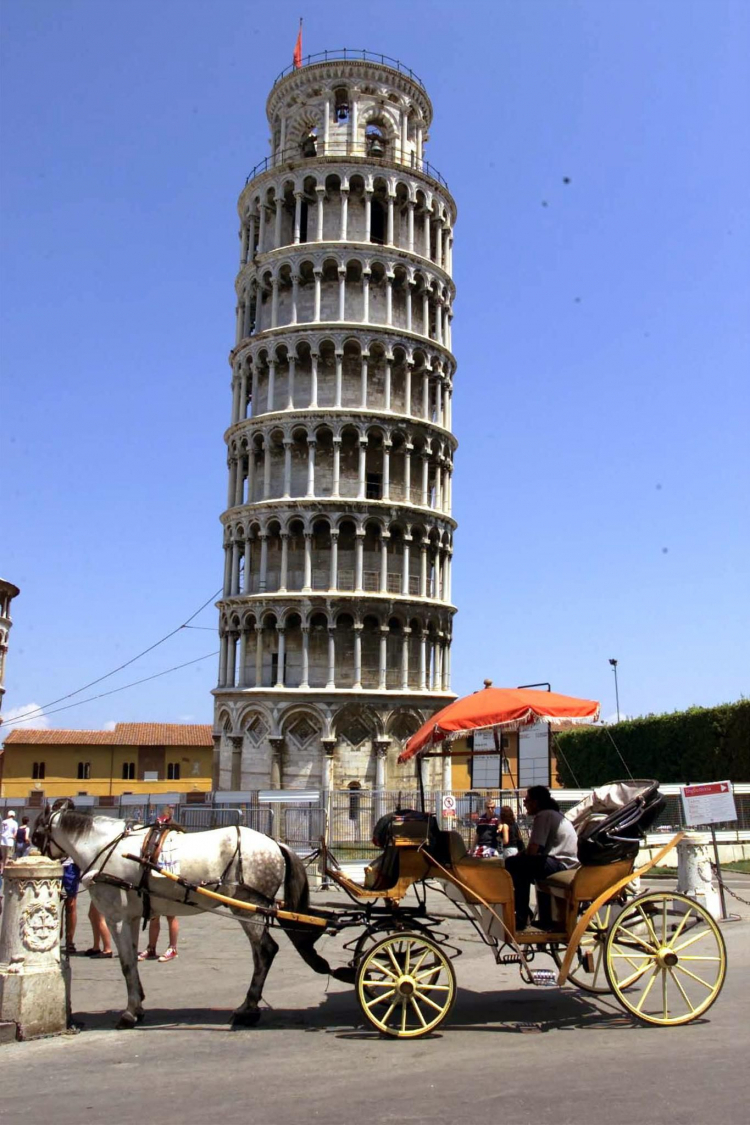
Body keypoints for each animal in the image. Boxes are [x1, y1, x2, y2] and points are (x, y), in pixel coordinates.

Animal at [34, 801, 335, 1030]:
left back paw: (247, 1009)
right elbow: (132, 961)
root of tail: (275, 843)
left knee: (265, 950)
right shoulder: (130, 916)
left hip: (247, 904)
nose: (44, 861)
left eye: (36, 834)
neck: (105, 846)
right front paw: (138, 1005)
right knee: (263, 951)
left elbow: (126, 964)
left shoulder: (115, 916)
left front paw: (129, 1013)